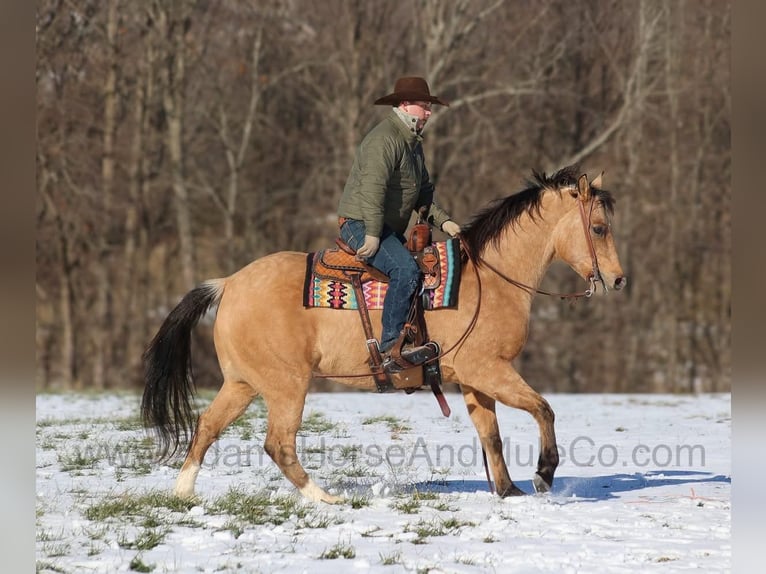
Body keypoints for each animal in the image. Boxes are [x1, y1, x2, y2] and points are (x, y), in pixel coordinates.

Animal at [141, 165, 626, 504]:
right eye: (599, 228)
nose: (619, 280)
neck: (490, 279)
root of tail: (228, 283)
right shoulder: (489, 369)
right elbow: (543, 409)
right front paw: (544, 474)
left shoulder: (475, 378)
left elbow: (490, 433)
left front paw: (508, 491)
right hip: (286, 386)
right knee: (279, 444)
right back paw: (325, 499)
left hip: (242, 384)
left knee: (207, 426)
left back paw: (183, 492)